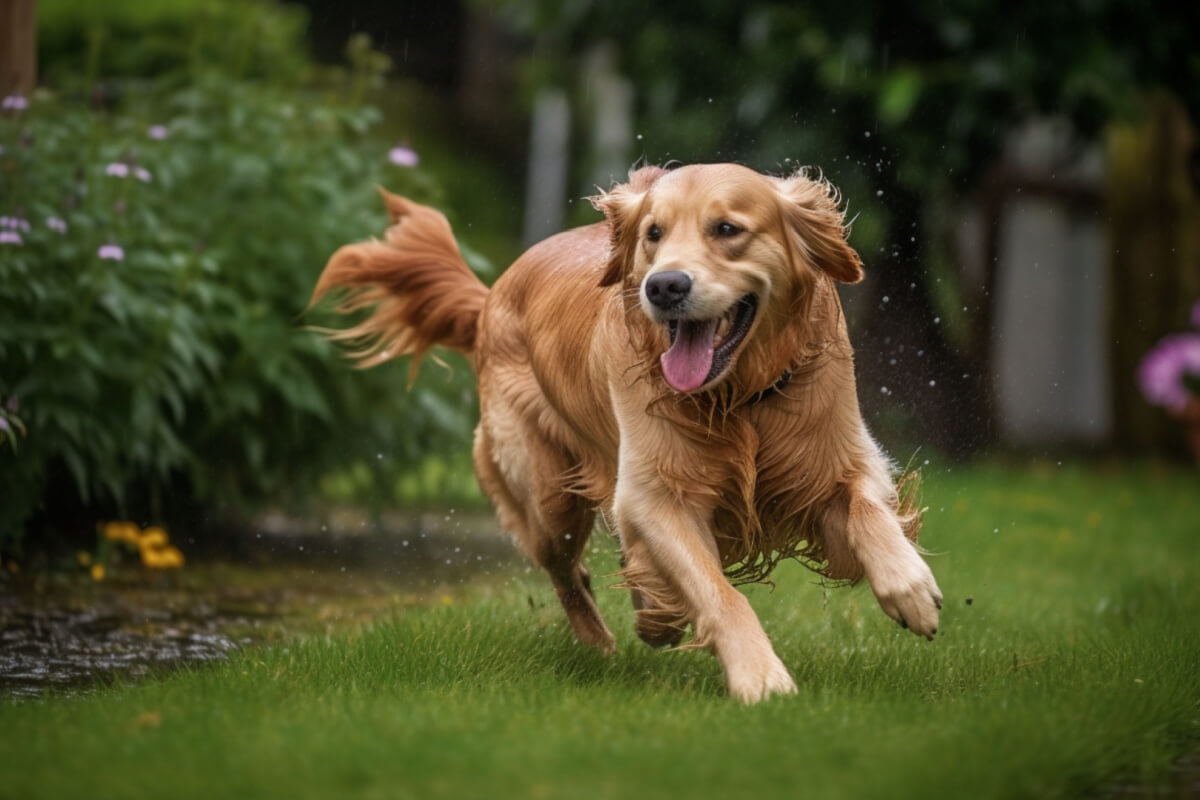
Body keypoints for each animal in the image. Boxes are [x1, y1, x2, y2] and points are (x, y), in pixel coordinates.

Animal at [314, 165, 940, 705]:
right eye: (653, 234)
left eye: (727, 229)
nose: (664, 286)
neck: (737, 397)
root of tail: (491, 295)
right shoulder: (656, 493)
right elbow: (718, 591)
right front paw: (760, 677)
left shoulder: (831, 463)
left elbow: (866, 508)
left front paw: (911, 588)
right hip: (547, 491)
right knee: (566, 569)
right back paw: (604, 641)